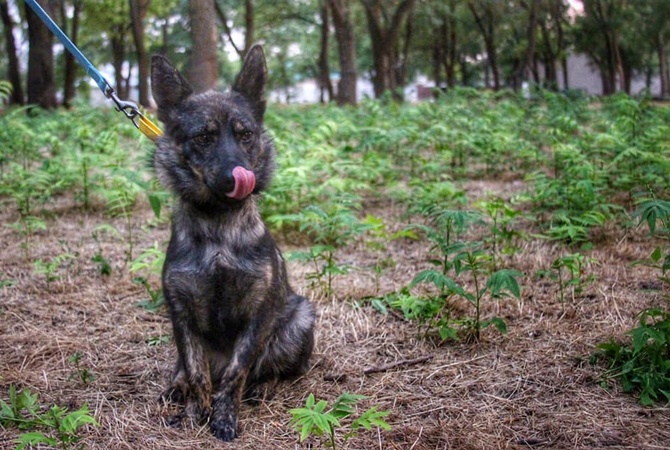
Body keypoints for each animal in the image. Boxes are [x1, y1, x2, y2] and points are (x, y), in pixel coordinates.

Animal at [151, 46, 316, 442]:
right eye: (203, 137)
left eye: (246, 135)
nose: (239, 176)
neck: (219, 229)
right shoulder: (181, 313)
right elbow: (197, 372)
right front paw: (195, 413)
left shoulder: (259, 313)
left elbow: (236, 371)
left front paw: (224, 417)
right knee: (182, 369)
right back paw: (175, 388)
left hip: (299, 319)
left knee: (274, 370)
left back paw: (263, 387)